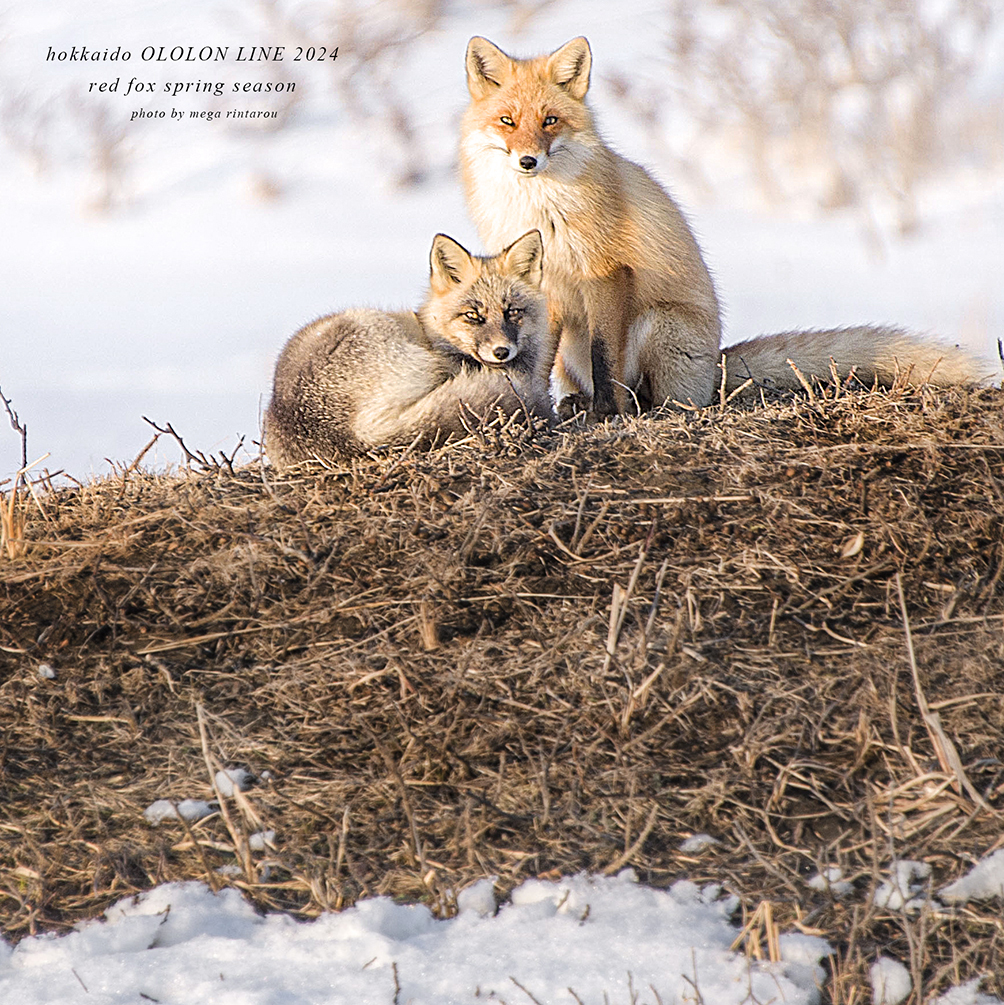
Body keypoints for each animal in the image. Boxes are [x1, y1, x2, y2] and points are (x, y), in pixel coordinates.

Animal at [460, 35, 988, 412]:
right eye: (507, 121)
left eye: (550, 121)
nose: (528, 161)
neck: (539, 209)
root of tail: (715, 363)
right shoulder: (545, 287)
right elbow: (537, 357)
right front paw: (541, 407)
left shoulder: (605, 272)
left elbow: (604, 356)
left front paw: (604, 415)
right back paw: (574, 402)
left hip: (658, 324)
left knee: (666, 400)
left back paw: (642, 410)